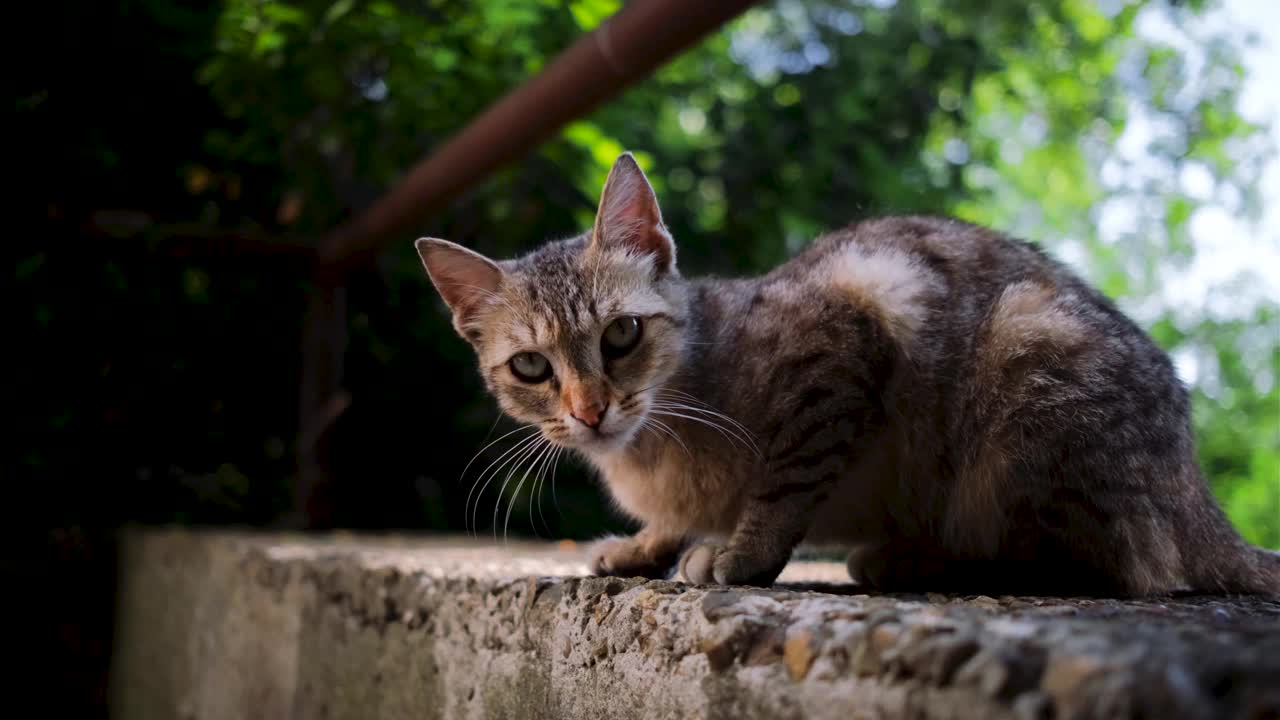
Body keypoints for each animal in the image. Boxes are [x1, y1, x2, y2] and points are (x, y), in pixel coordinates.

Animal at [414, 151, 1274, 594]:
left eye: (621, 334)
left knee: (1108, 567)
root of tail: (1197, 500)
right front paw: (644, 545)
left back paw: (912, 560)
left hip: (1027, 368)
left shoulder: (842, 338)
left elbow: (784, 482)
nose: (591, 410)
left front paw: (739, 552)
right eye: (531, 365)